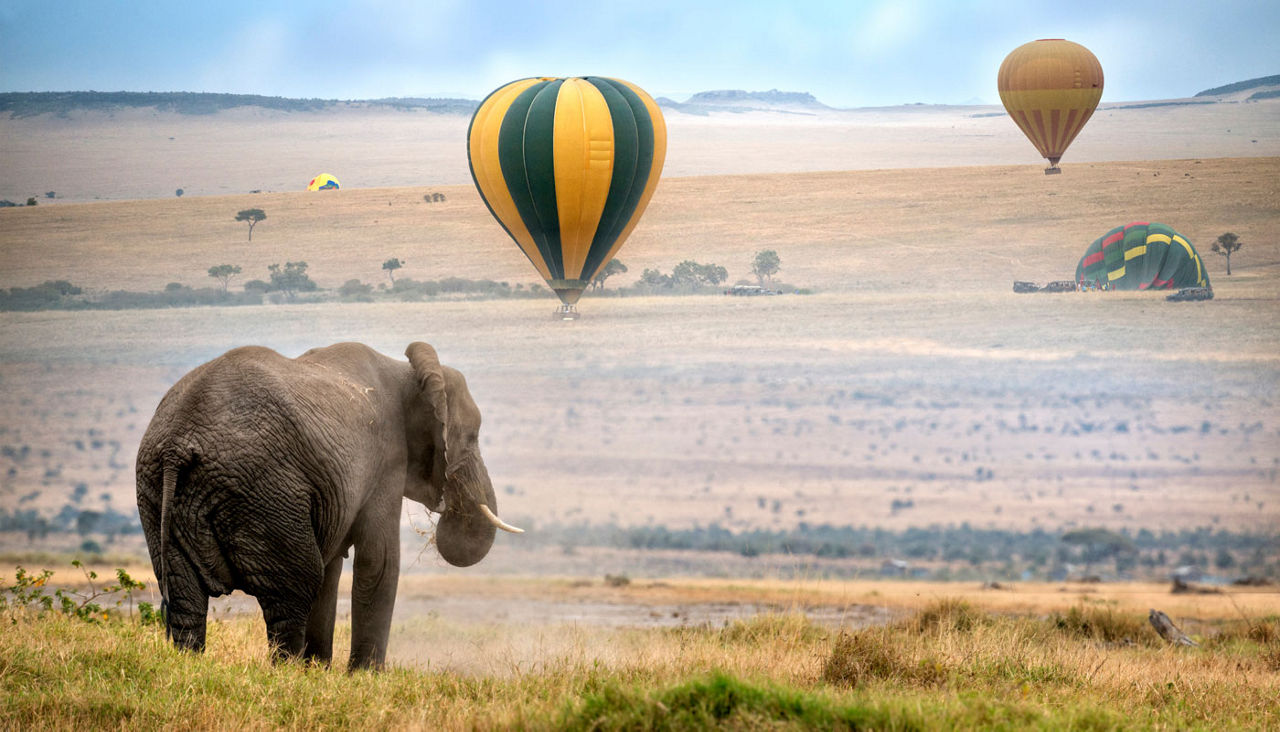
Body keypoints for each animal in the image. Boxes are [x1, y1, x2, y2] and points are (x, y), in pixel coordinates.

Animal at [136, 342, 519, 670]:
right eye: (472, 437)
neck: (408, 372)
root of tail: (177, 444)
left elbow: (333, 567)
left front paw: (319, 670)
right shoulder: (386, 460)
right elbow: (378, 562)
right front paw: (365, 677)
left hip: (156, 494)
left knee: (185, 598)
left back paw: (190, 665)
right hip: (264, 490)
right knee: (295, 587)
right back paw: (286, 672)